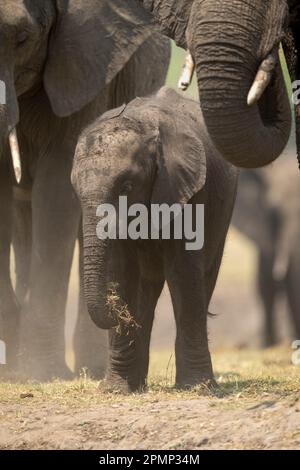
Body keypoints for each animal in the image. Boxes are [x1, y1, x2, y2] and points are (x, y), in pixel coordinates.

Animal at [71, 88, 238, 392]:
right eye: (75, 190)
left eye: (126, 187)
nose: (115, 311)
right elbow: (122, 272)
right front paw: (116, 390)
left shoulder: (187, 190)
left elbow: (183, 272)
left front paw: (195, 388)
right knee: (146, 289)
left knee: (204, 276)